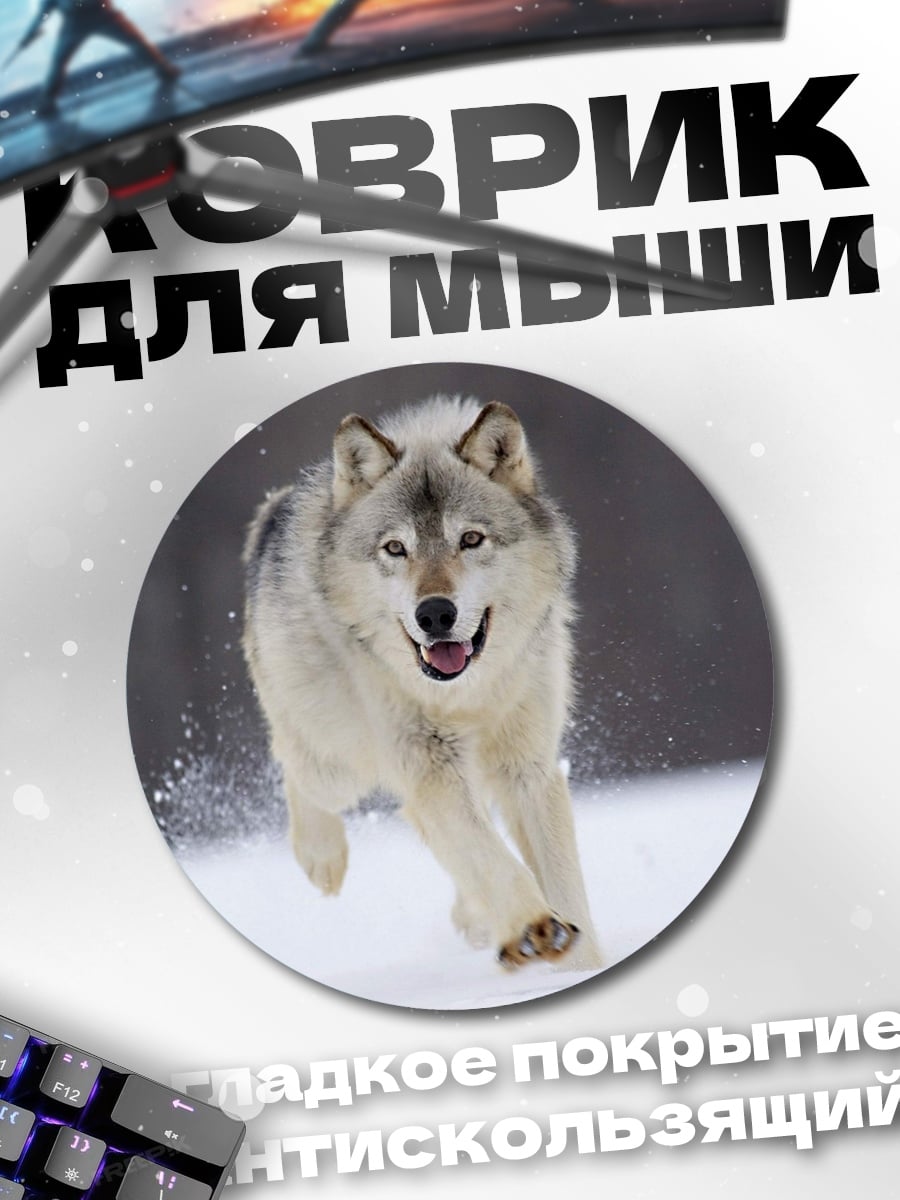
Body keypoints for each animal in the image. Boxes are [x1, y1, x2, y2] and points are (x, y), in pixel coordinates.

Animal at [242, 397, 603, 971]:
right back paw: (322, 858)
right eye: (395, 548)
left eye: (470, 539)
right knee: (295, 766)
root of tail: (273, 511)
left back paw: (477, 919)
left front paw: (578, 960)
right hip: (339, 761)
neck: (464, 695)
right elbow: (489, 855)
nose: (434, 614)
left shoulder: (528, 768)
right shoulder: (429, 763)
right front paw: (533, 926)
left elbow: (562, 885)